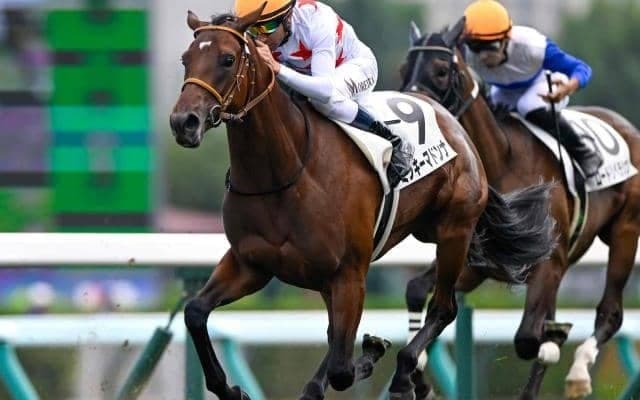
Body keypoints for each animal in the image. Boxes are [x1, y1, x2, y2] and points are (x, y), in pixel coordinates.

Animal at [169, 8, 557, 400]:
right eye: (185, 59)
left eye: (227, 59)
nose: (183, 122)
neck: (284, 173)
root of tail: (455, 124)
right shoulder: (250, 264)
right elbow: (195, 312)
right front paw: (232, 389)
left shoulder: (349, 272)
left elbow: (342, 369)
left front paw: (372, 353)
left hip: (454, 232)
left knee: (444, 308)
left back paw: (405, 375)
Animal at [400, 18, 640, 400]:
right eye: (403, 69)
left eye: (440, 70)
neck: (504, 162)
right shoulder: (477, 261)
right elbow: (417, 290)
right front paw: (418, 376)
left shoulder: (548, 263)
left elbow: (529, 339)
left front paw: (554, 343)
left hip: (625, 233)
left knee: (610, 312)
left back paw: (579, 371)